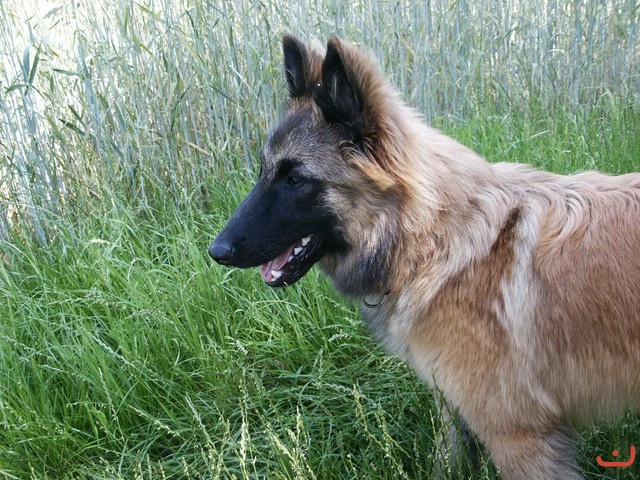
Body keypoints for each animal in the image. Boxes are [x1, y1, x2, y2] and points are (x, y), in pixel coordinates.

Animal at [209, 34, 640, 479]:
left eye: (295, 179)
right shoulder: (456, 411)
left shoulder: (520, 438)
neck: (434, 242)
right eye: (263, 171)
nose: (217, 251)